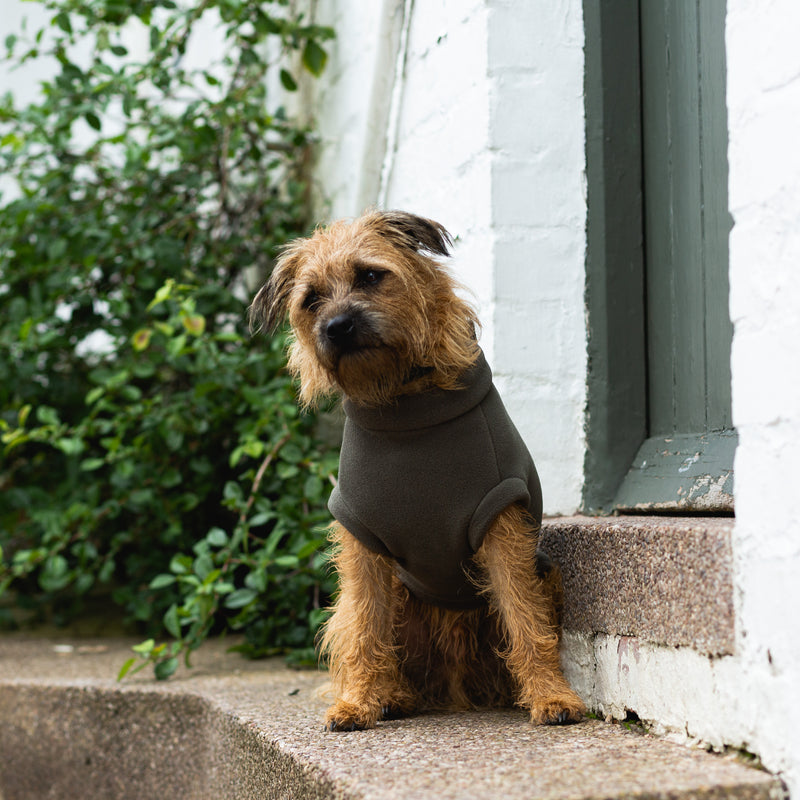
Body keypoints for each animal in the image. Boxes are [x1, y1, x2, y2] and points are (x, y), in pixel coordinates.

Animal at [250, 209, 588, 728]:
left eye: (370, 276)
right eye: (312, 300)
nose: (338, 326)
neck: (405, 403)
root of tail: (453, 686)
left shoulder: (501, 525)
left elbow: (524, 616)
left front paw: (552, 696)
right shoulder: (362, 542)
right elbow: (365, 625)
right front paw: (358, 702)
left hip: (543, 571)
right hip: (400, 598)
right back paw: (391, 695)